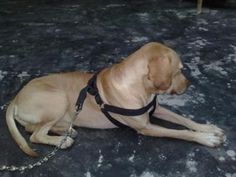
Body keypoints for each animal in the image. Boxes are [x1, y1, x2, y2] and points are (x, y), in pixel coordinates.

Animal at [5, 41, 223, 156]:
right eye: (179, 70)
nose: (189, 84)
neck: (139, 87)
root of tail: (15, 98)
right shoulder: (146, 127)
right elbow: (181, 132)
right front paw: (205, 138)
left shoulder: (157, 109)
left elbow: (184, 120)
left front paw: (207, 128)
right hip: (59, 99)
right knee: (34, 134)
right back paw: (61, 141)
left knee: (31, 128)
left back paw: (66, 131)